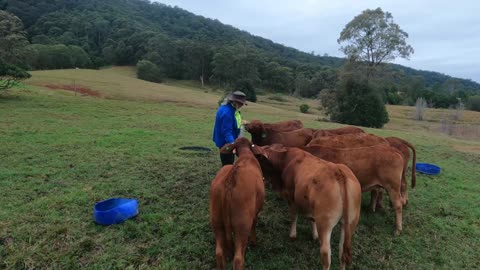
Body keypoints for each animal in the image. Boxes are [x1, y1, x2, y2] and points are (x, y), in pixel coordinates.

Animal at [208, 138, 264, 268]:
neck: (245, 155)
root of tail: (230, 179)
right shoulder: (255, 213)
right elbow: (254, 225)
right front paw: (254, 241)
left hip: (216, 221)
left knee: (219, 253)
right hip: (242, 226)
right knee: (238, 259)